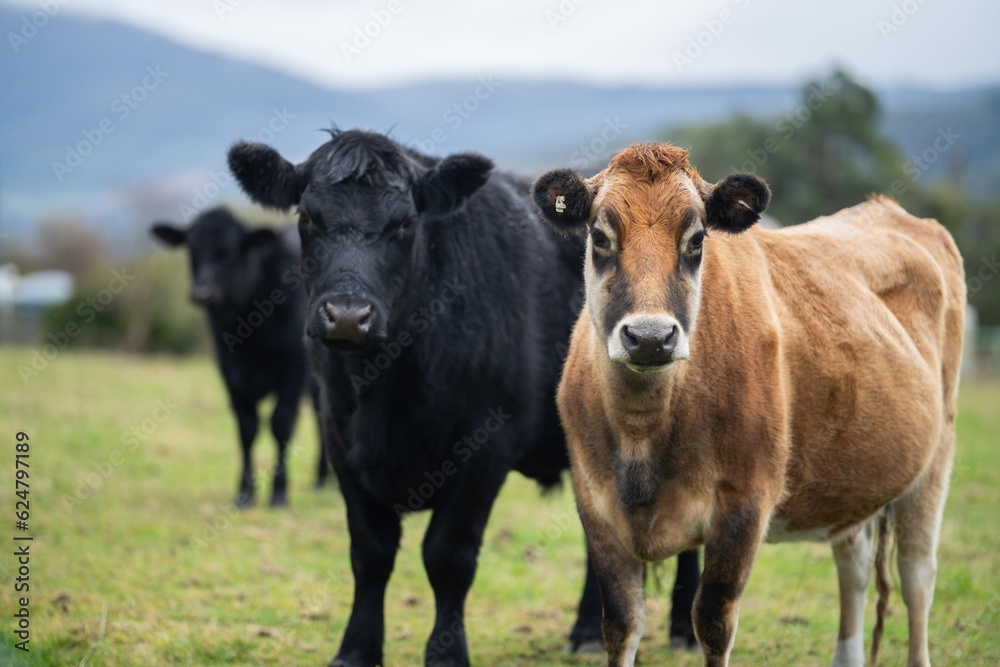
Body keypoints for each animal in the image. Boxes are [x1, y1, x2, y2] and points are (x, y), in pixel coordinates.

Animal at [150, 207, 328, 506]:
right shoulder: (230, 371)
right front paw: (245, 493)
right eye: (192, 250)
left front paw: (279, 493)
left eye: (230, 251)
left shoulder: (294, 369)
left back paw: (325, 480)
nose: (201, 293)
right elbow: (247, 428)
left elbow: (280, 423)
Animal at [227, 132, 696, 667]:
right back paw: (587, 632)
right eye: (307, 219)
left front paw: (447, 653)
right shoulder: (340, 440)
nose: (347, 316)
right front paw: (356, 650)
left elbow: (447, 556)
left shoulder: (484, 446)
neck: (386, 393)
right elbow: (369, 553)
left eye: (405, 223)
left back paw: (683, 630)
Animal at [532, 142, 960, 667]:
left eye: (697, 239)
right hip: (853, 476)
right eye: (599, 236)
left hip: (936, 456)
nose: (650, 337)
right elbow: (621, 624)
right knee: (854, 563)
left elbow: (713, 624)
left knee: (918, 575)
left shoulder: (745, 505)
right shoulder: (595, 505)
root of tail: (886, 208)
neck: (642, 436)